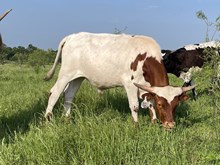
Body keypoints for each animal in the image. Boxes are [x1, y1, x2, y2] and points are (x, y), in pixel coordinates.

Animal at [44, 32, 194, 129]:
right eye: (161, 105)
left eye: (175, 105)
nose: (170, 125)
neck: (147, 57)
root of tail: (71, 36)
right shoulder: (130, 84)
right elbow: (135, 106)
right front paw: (136, 126)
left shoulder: (147, 87)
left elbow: (149, 103)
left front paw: (154, 121)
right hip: (65, 74)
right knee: (54, 93)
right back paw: (48, 120)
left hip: (78, 77)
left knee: (69, 95)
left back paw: (67, 119)